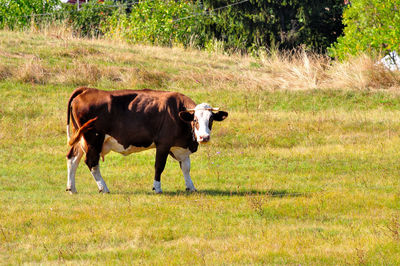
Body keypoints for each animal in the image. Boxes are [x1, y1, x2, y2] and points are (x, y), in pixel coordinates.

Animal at [66, 87, 228, 193]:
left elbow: (186, 167)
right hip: (93, 139)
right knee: (91, 162)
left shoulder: (180, 147)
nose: (204, 137)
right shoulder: (163, 144)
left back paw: (72, 188)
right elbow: (159, 166)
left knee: (72, 158)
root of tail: (87, 89)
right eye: (195, 120)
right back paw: (103, 188)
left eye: (211, 120)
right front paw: (157, 188)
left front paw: (191, 187)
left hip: (81, 138)